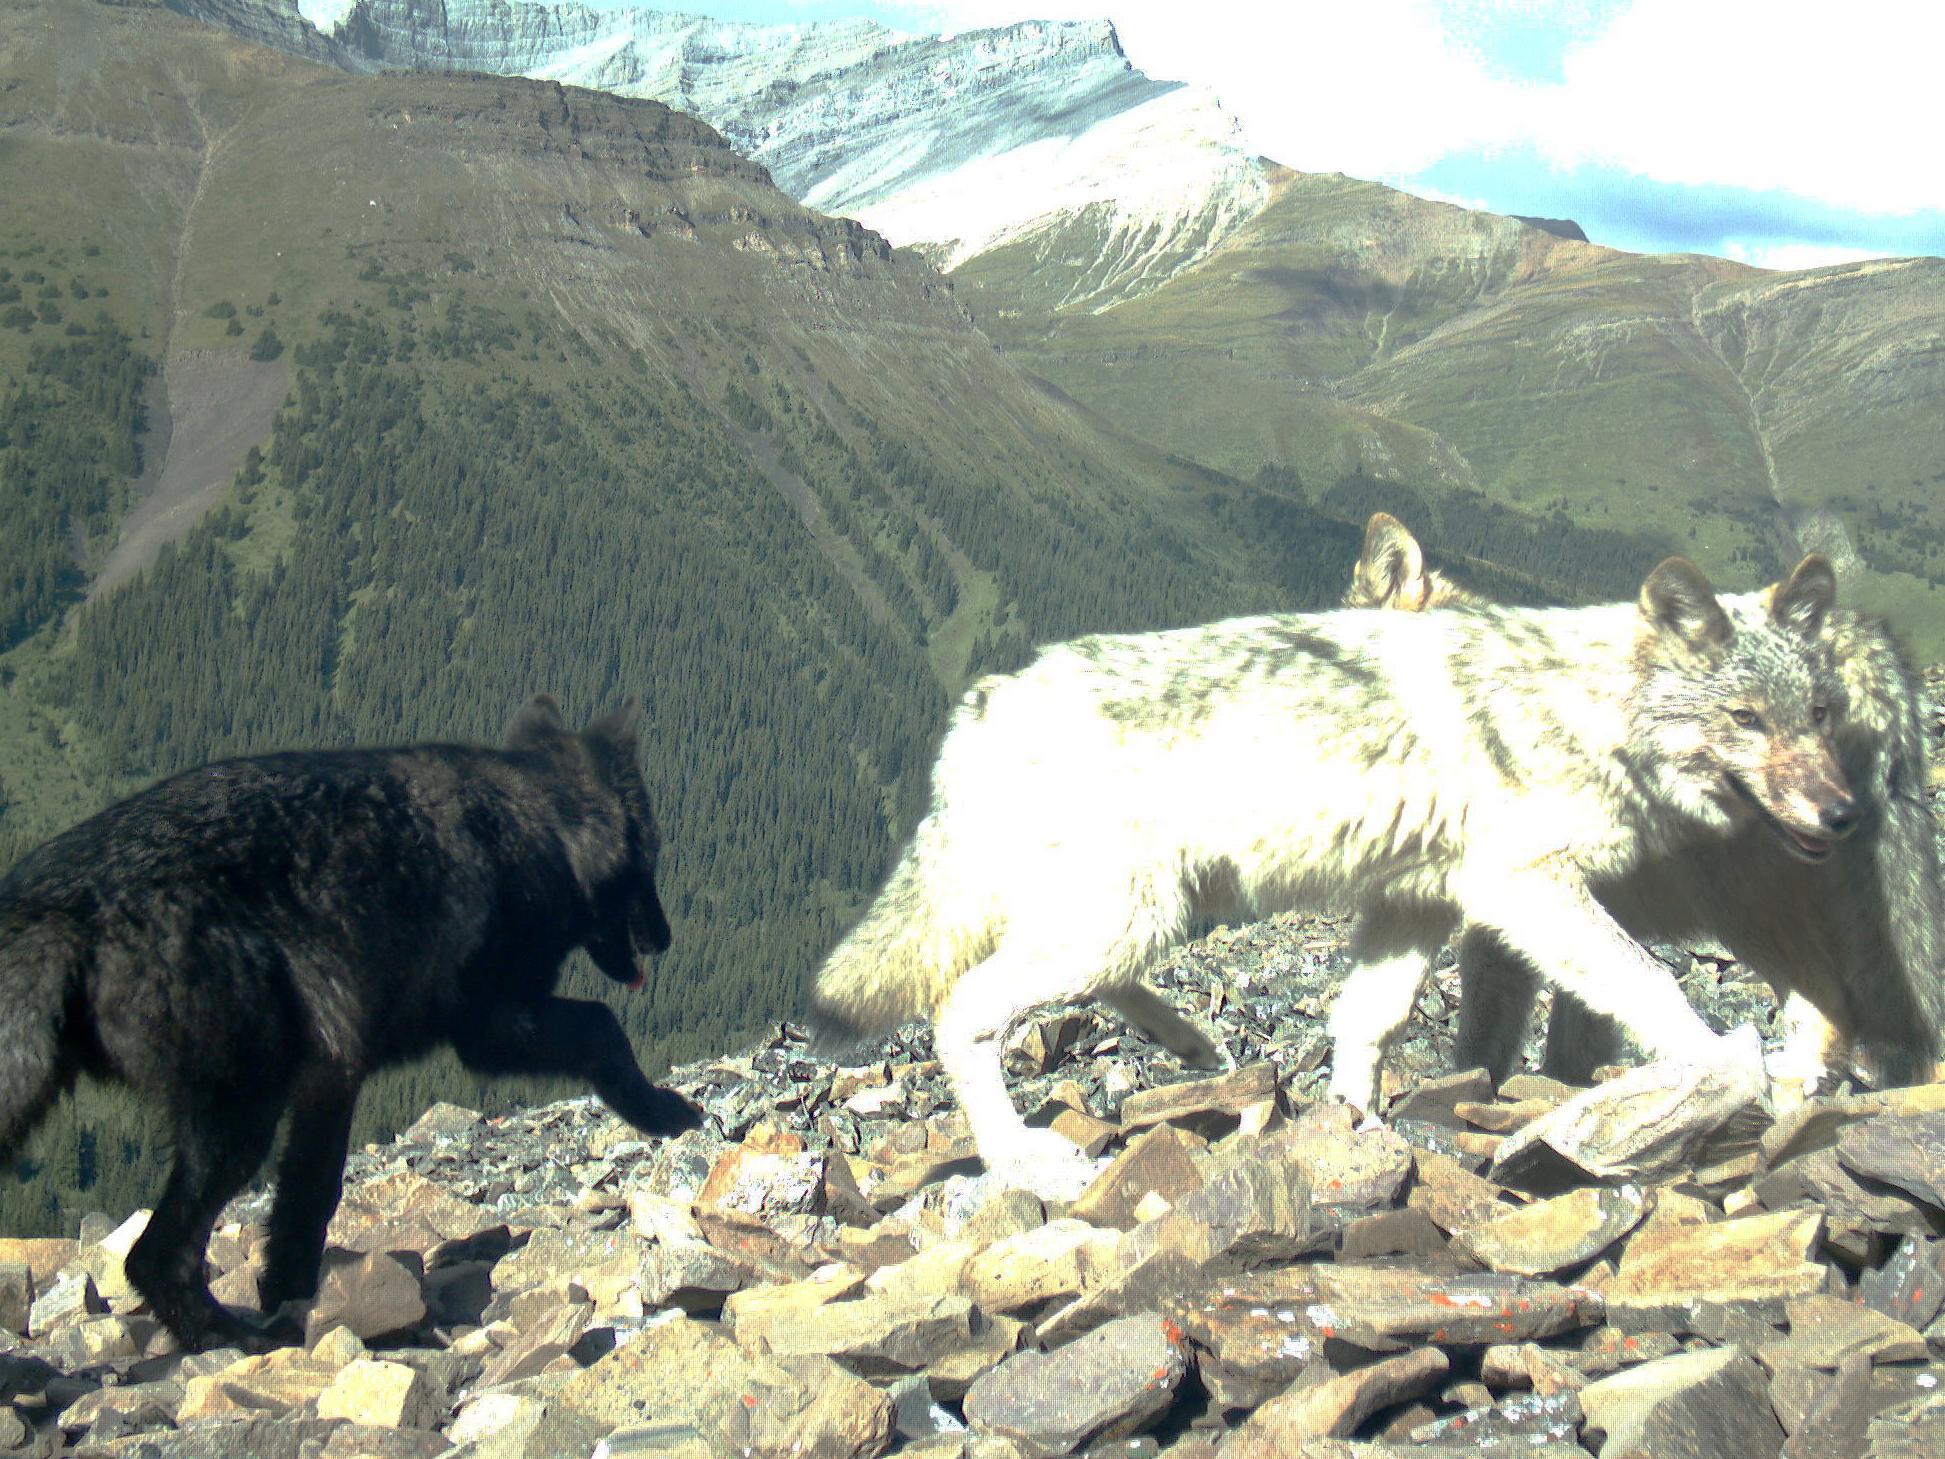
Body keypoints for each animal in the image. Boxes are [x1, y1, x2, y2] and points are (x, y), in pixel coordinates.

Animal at [0, 696, 701, 1348]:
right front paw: (665, 1112)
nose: (668, 937)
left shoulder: (331, 1079)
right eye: (651, 852)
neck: (542, 822)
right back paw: (225, 1337)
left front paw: (289, 1294)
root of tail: (61, 907)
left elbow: (305, 1202)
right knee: (155, 1255)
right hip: (238, 1124)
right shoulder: (491, 1026)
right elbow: (603, 1028)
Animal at [810, 545, 1856, 1194]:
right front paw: (1736, 1072)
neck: (1583, 704)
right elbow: (1655, 989)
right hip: (1123, 917)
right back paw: (1025, 1160)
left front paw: (1352, 1125)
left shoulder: (1417, 900)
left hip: (1134, 916)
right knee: (960, 1011)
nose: (1843, 815)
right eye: (1745, 719)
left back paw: (1194, 1044)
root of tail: (982, 699)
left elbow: (1367, 1021)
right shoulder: (1526, 891)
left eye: (1817, 715)